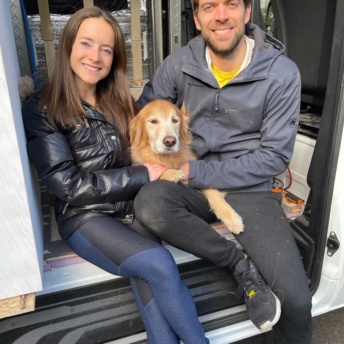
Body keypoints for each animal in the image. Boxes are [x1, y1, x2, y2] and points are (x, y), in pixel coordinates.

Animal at [130, 99, 245, 234]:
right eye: (153, 121)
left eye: (175, 120)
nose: (170, 141)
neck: (167, 157)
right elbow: (154, 168)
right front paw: (171, 173)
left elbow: (212, 190)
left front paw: (231, 218)